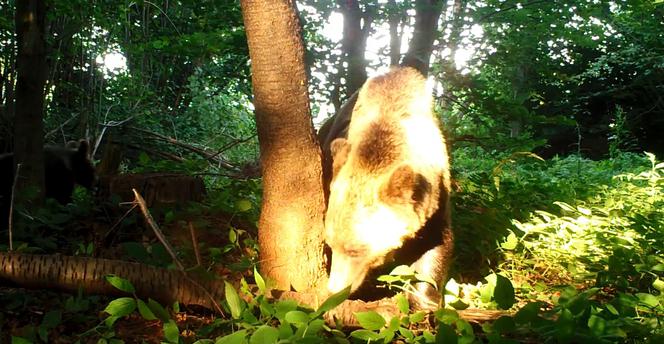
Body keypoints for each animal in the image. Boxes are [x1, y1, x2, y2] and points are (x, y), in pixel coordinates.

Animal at [320, 66, 454, 310]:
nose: (334, 288)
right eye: (330, 243)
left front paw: (425, 302)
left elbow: (435, 245)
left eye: (355, 249)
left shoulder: (437, 192)